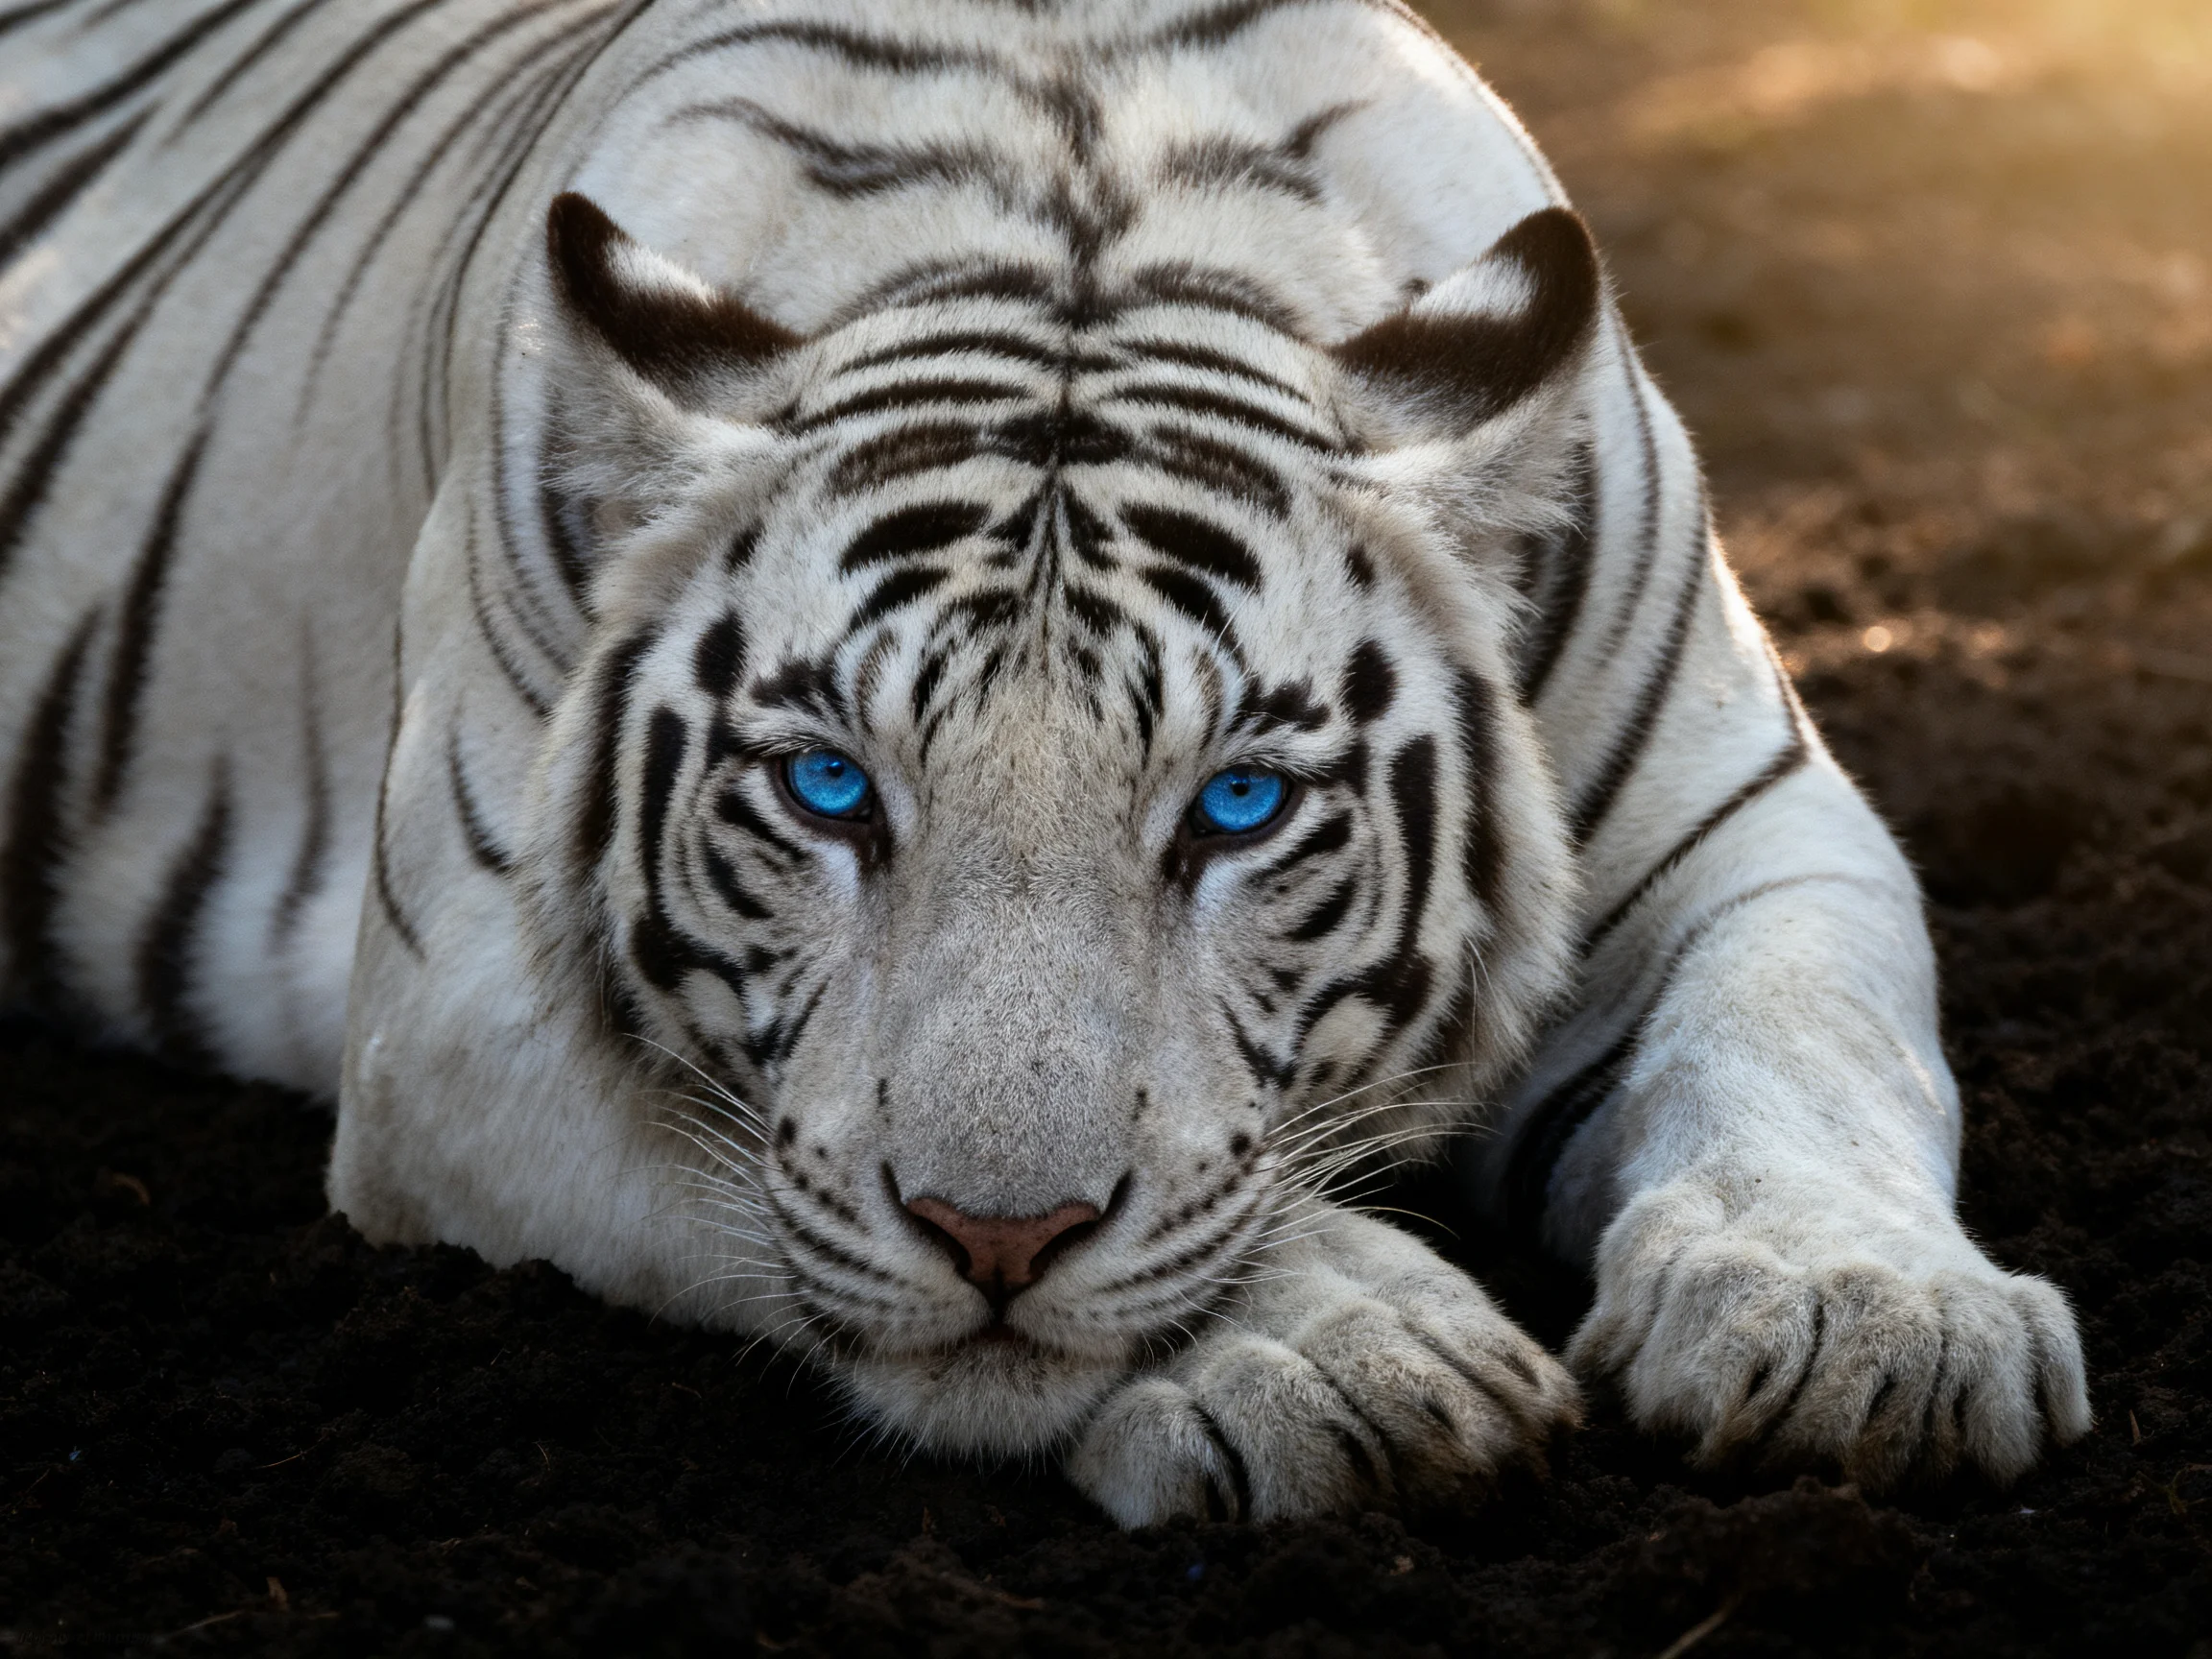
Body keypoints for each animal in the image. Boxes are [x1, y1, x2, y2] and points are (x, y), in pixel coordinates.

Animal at [0, 0, 2089, 1524]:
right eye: (828, 788)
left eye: (1239, 802)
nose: (996, 1235)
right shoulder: (463, 1011)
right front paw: (1339, 1351)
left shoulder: (1746, 829)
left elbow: (1802, 1048)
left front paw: (1856, 1319)